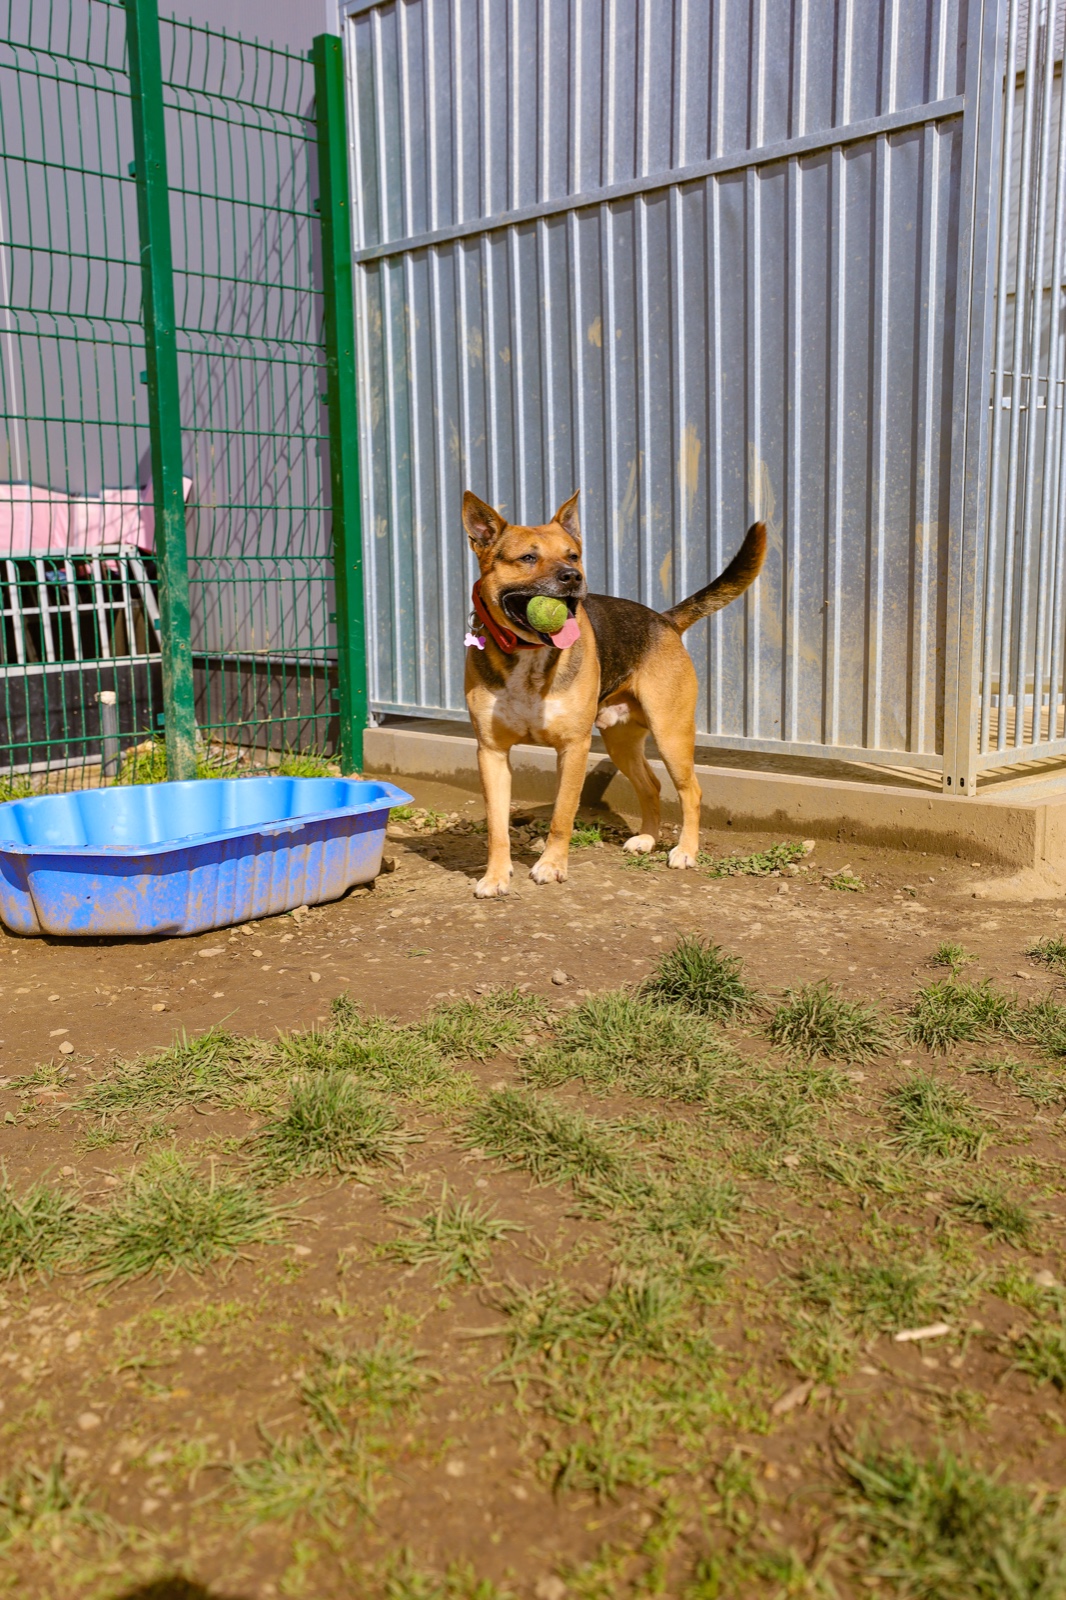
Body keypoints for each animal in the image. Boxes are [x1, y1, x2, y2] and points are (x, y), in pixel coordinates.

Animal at [462, 489, 766, 898]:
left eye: (573, 555)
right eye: (527, 557)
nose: (573, 577)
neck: (528, 653)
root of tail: (664, 620)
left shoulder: (573, 748)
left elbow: (562, 815)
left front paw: (552, 866)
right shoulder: (491, 752)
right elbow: (497, 827)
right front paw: (495, 876)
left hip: (671, 734)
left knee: (691, 791)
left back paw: (685, 850)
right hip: (620, 740)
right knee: (651, 785)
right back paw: (648, 839)